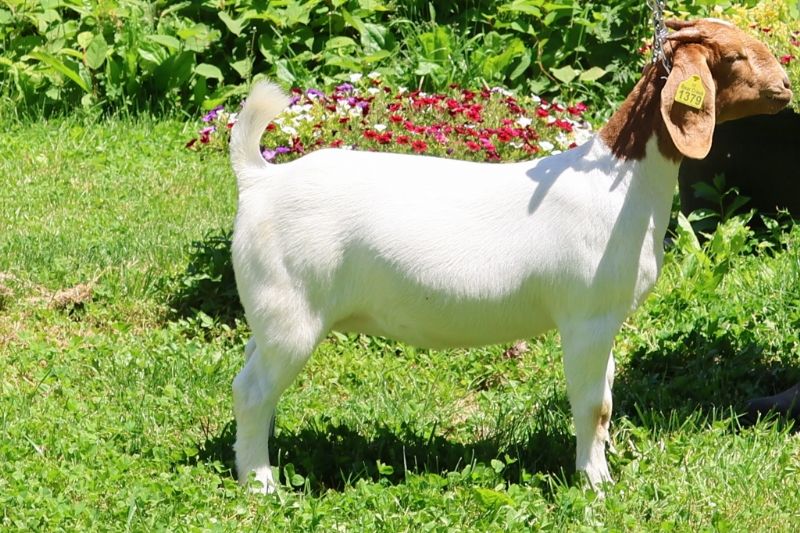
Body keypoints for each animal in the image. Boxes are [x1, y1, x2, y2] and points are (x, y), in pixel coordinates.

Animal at [228, 19, 792, 493]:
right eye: (736, 55)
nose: (786, 85)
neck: (621, 182)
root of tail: (259, 178)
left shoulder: (607, 319)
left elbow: (608, 398)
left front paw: (602, 464)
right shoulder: (586, 318)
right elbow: (593, 404)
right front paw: (595, 484)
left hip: (272, 310)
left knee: (249, 378)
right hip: (292, 309)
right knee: (253, 389)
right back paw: (261, 483)